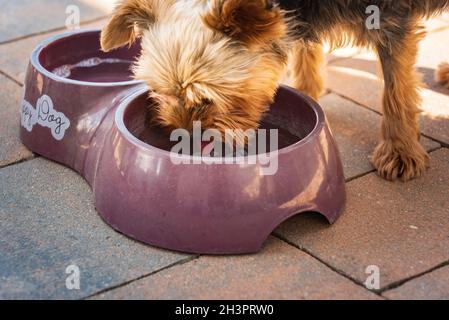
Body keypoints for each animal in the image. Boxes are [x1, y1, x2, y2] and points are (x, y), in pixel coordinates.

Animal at [100, 0, 448, 180]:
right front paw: (307, 91)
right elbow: (305, 46)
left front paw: (399, 149)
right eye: (163, 92)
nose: (186, 138)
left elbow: (396, 87)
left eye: (207, 99)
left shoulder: (389, 17)